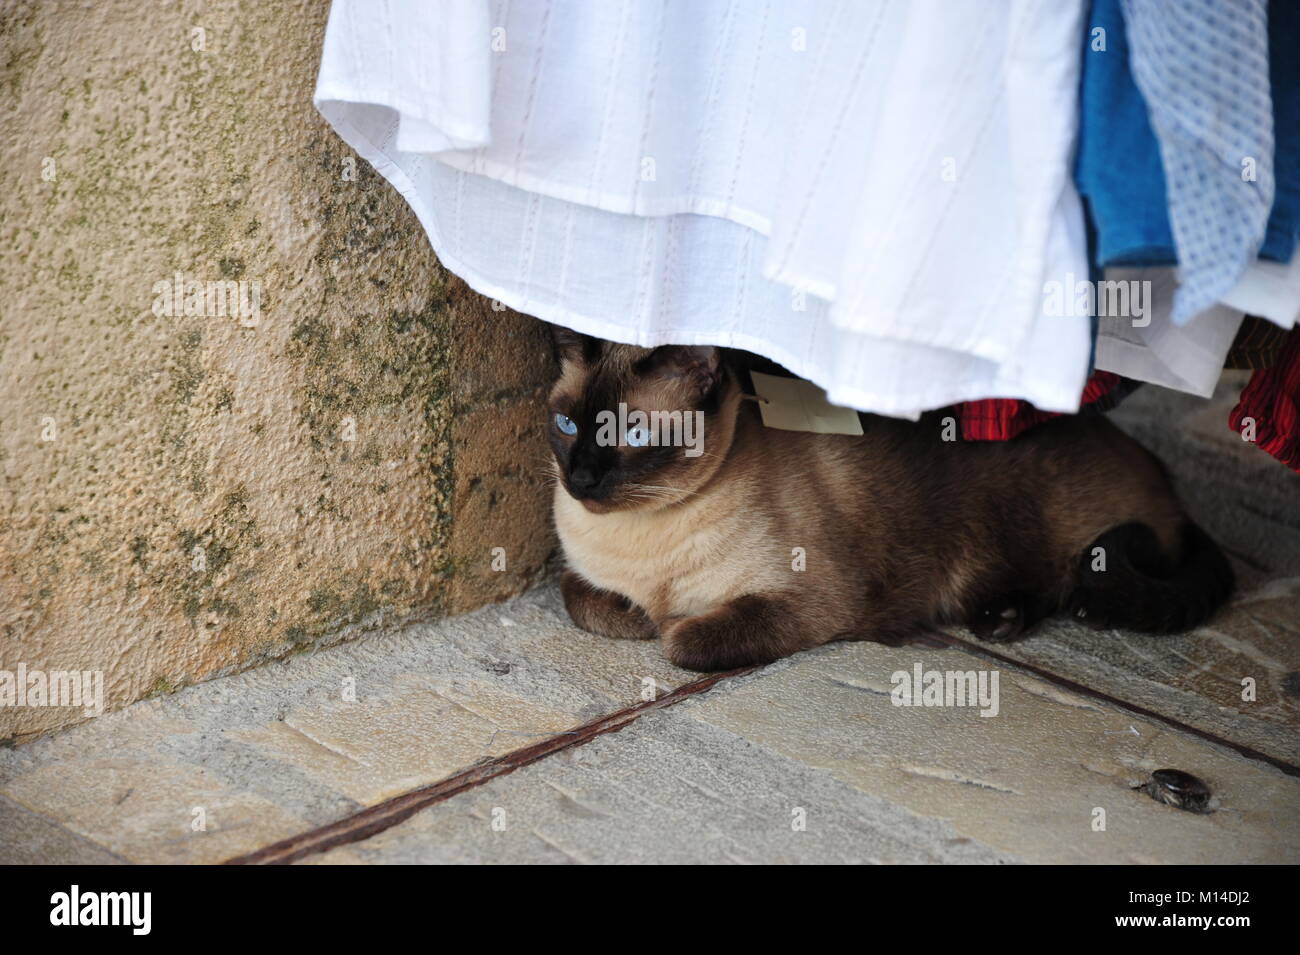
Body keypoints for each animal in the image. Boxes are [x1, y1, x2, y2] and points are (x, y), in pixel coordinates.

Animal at [543, 328, 1232, 670]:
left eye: (633, 435)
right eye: (568, 426)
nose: (581, 479)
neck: (644, 543)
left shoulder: (813, 600)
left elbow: (681, 641)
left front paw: (664, 625)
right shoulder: (579, 575)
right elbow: (589, 603)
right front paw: (636, 616)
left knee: (1065, 581)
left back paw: (999, 621)